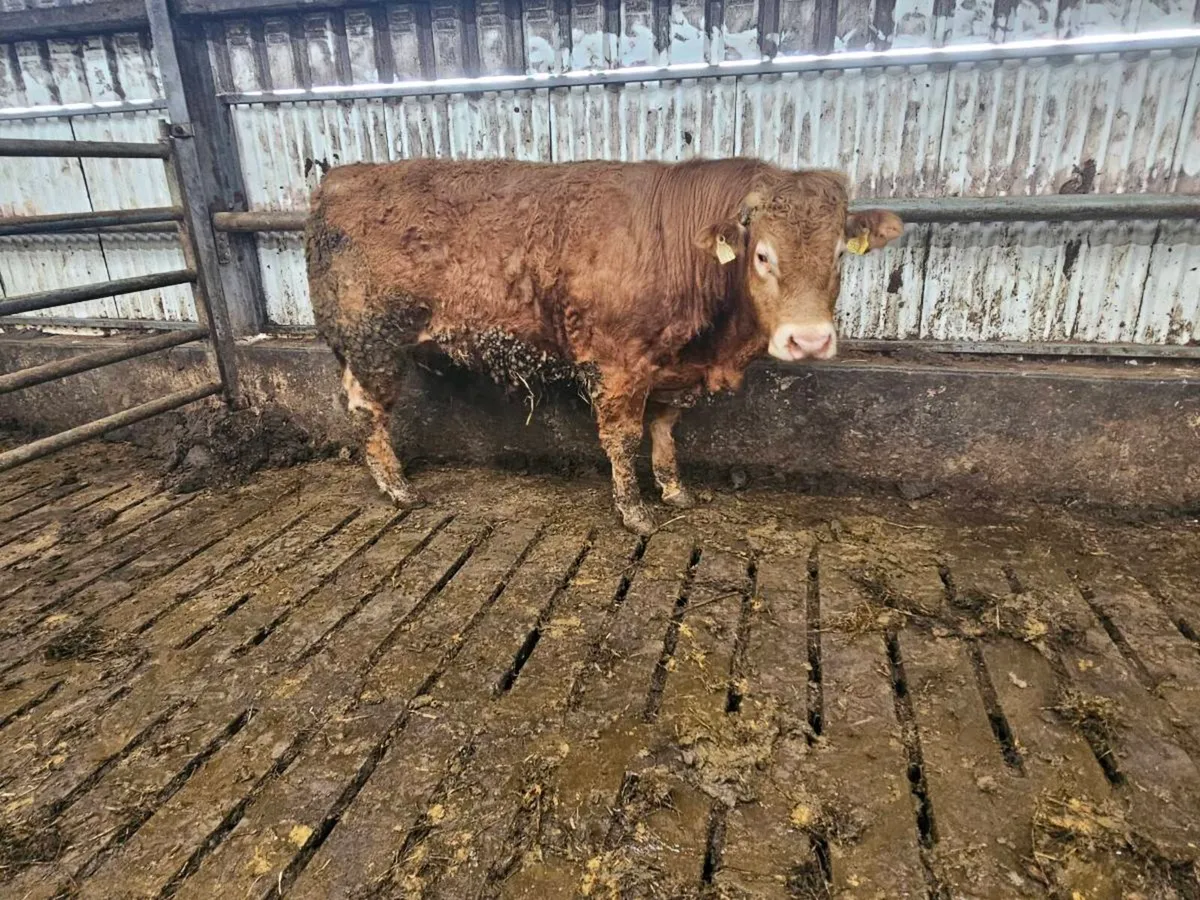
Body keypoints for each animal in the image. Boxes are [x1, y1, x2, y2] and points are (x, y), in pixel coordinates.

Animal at [305, 157, 903, 535]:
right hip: (374, 338)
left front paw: (674, 490)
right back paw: (398, 488)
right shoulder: (620, 364)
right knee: (366, 408)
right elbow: (622, 438)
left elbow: (664, 429)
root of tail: (341, 178)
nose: (809, 339)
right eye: (762, 255)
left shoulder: (672, 368)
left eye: (839, 254)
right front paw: (634, 511)